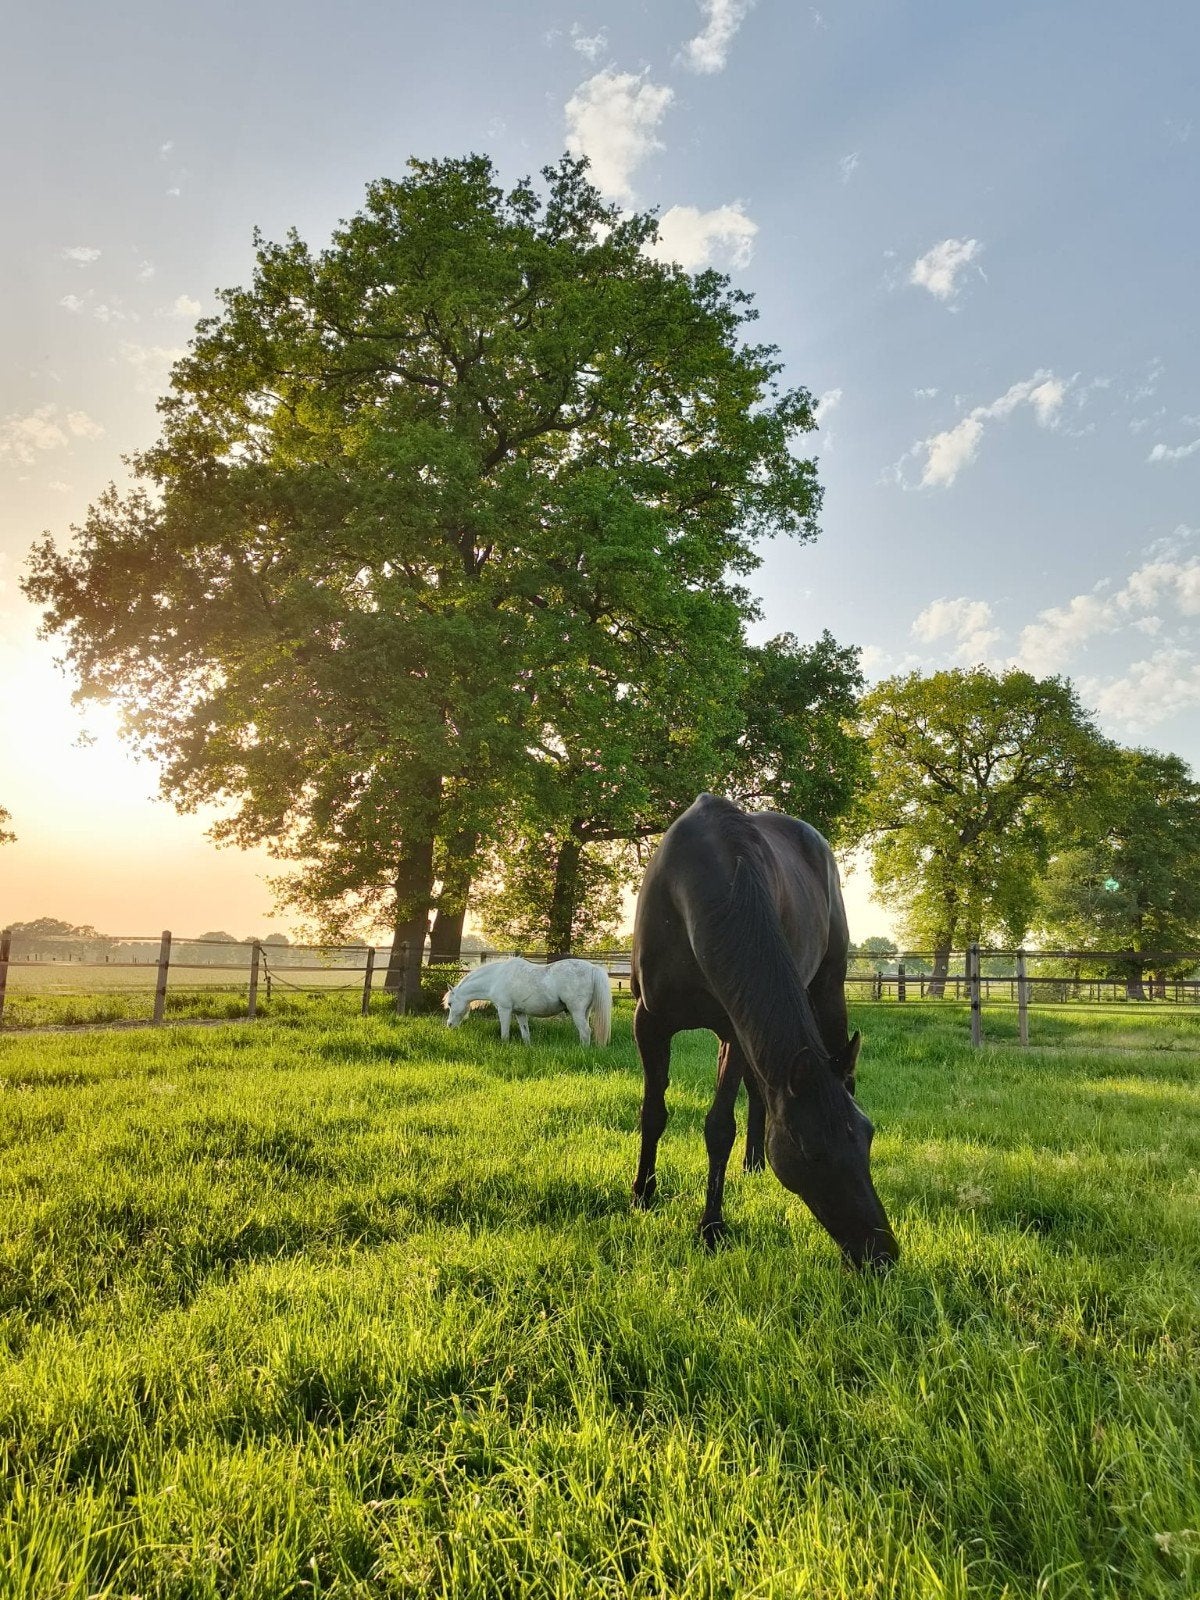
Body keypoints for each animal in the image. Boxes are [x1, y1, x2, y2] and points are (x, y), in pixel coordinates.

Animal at [444, 956, 613, 1046]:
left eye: (450, 1004)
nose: (449, 1025)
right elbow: (525, 1034)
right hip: (585, 1012)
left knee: (585, 1031)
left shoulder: (504, 1010)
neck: (496, 977)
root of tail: (593, 968)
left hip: (576, 1011)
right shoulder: (520, 1013)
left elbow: (504, 1034)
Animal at [630, 793, 898, 1269]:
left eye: (868, 1137)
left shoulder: (733, 1030)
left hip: (828, 987)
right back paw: (753, 1162)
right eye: (811, 1151)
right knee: (760, 1090)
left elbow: (719, 1128)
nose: (881, 1252)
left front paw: (711, 1227)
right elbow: (654, 1113)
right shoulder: (650, 1021)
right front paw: (643, 1195)